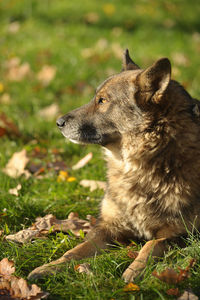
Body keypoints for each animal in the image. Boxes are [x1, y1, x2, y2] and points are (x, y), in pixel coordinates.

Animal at [27, 49, 200, 284]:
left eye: (102, 101)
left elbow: (150, 245)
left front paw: (135, 270)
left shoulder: (181, 234)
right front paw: (50, 267)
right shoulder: (108, 228)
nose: (58, 122)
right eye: (95, 98)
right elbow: (75, 250)